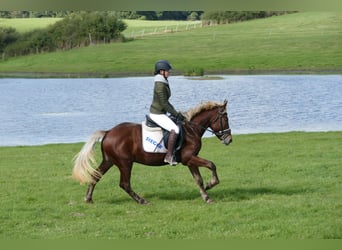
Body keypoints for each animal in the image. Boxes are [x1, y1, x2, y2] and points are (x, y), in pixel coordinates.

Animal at [72, 98, 232, 204]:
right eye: (225, 118)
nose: (229, 139)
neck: (191, 129)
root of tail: (108, 132)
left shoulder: (190, 160)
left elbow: (198, 179)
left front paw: (206, 196)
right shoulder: (189, 158)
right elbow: (211, 164)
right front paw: (211, 184)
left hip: (109, 160)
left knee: (95, 176)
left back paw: (88, 199)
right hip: (125, 163)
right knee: (124, 184)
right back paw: (142, 201)